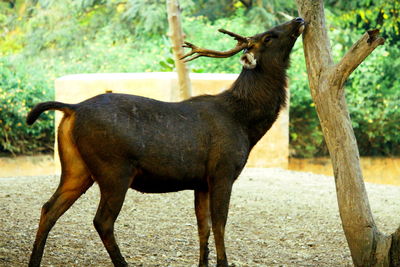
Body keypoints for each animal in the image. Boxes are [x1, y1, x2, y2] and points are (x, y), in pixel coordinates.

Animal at [26, 17, 304, 266]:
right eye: (268, 36)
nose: (299, 19)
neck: (245, 124)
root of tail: (72, 108)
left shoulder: (201, 182)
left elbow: (203, 227)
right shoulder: (223, 171)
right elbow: (220, 225)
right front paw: (223, 263)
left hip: (76, 167)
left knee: (48, 208)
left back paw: (34, 260)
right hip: (114, 168)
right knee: (102, 220)